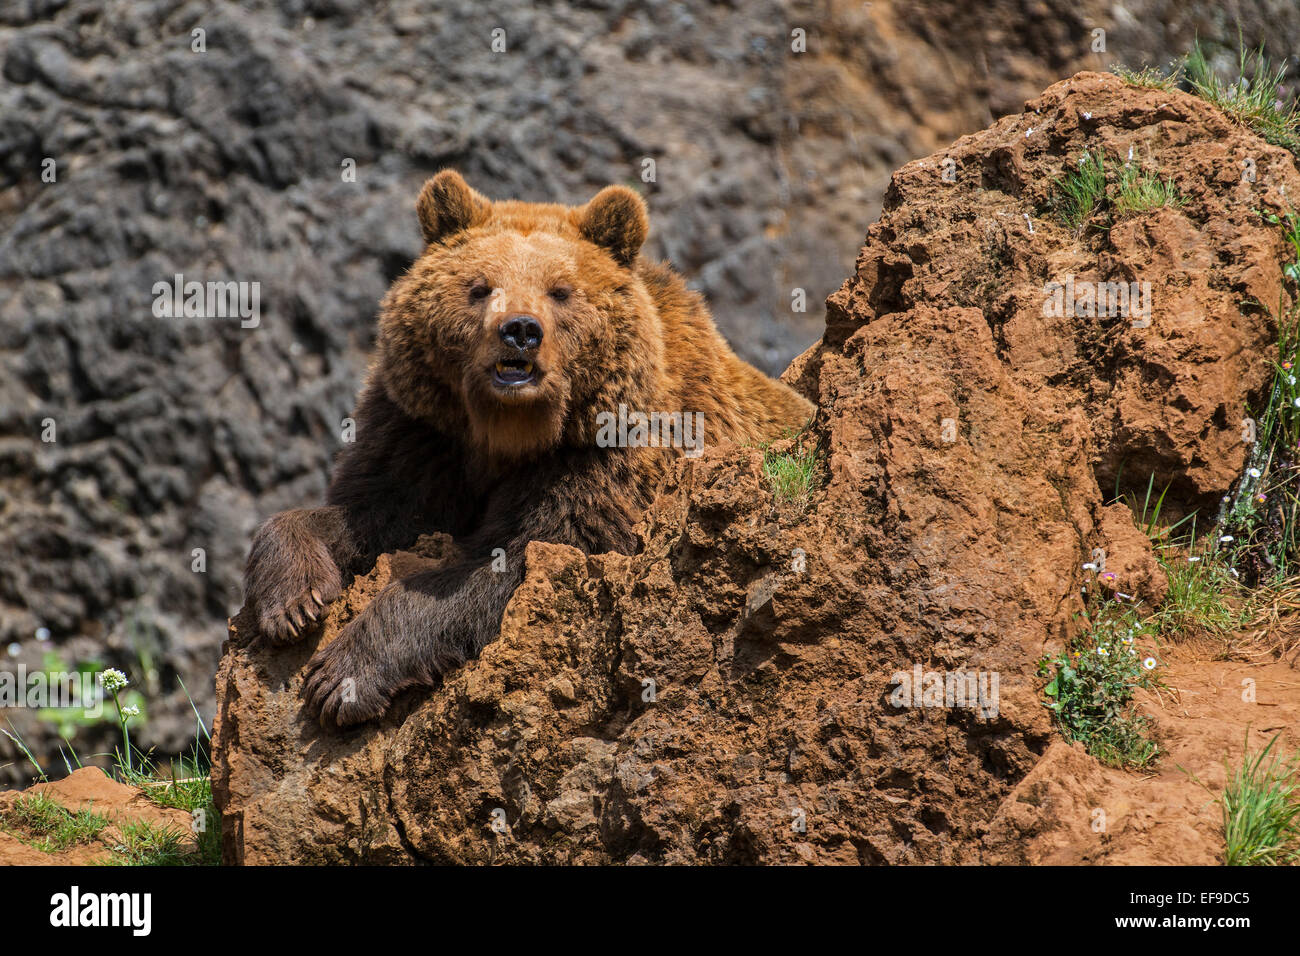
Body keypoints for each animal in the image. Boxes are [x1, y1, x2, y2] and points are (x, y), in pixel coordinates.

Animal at [244, 170, 811, 723]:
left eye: (560, 290)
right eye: (479, 287)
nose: (520, 330)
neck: (510, 431)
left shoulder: (602, 461)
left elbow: (527, 559)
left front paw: (342, 676)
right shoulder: (423, 434)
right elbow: (374, 511)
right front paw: (294, 601)